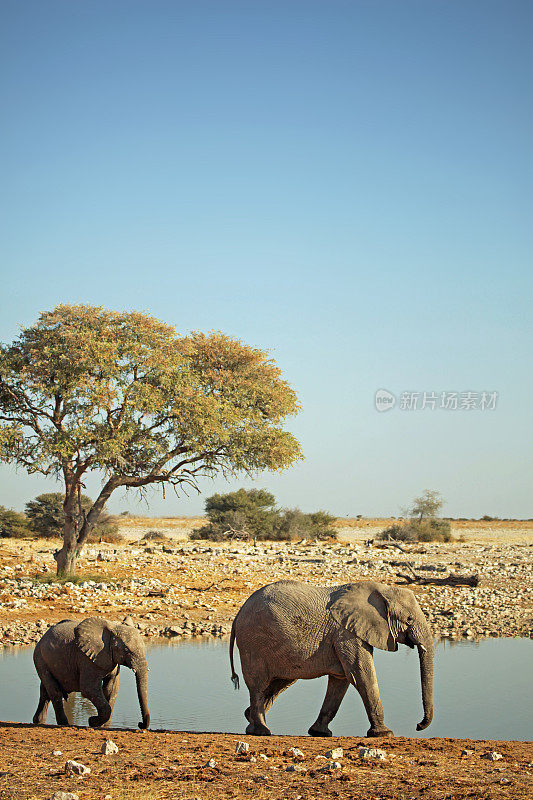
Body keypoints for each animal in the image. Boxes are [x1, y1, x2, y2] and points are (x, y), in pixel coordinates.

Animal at [229, 580, 432, 736]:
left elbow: (341, 680)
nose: (418, 725)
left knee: (280, 682)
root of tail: (238, 614)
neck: (382, 590)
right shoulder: (347, 633)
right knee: (258, 685)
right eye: (409, 619)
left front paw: (319, 733)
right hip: (253, 643)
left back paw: (250, 721)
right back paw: (261, 731)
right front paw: (384, 734)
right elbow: (361, 675)